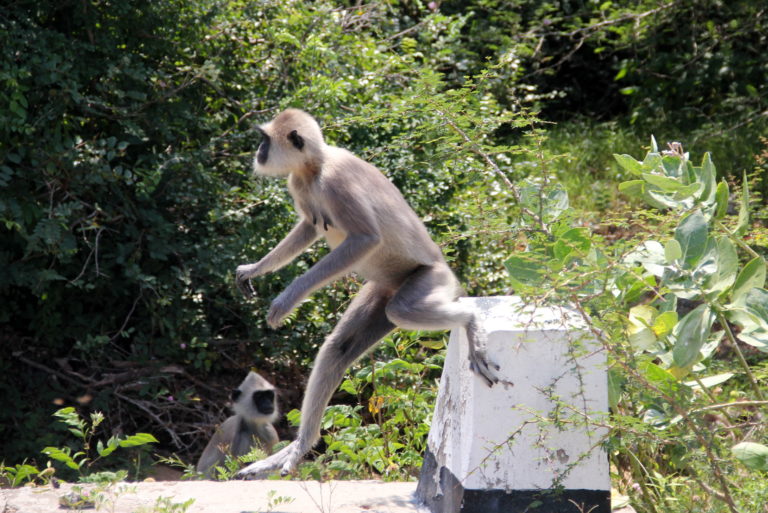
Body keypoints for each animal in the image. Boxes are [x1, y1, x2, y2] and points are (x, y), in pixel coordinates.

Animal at [234, 108, 498, 476]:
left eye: (264, 140)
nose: (258, 152)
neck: (315, 167)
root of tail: (444, 266)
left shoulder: (335, 182)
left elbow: (365, 239)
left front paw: (286, 299)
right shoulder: (298, 183)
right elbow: (309, 228)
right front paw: (254, 269)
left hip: (430, 280)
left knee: (401, 310)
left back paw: (471, 320)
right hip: (382, 288)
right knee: (338, 349)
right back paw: (299, 447)